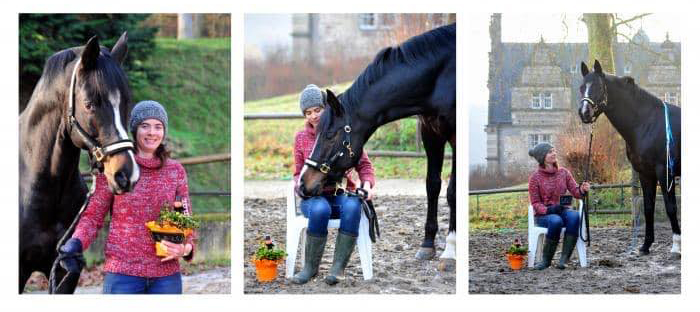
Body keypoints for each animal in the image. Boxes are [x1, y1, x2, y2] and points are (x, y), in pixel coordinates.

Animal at [298, 23, 456, 268]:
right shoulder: (431, 133)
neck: (440, 78)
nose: (304, 183)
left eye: (330, 135)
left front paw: (450, 250)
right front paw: (427, 245)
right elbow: (433, 185)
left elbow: (453, 191)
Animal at [576, 60, 680, 256]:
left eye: (598, 86)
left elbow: (671, 207)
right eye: (581, 87)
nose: (584, 113)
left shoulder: (664, 171)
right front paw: (645, 246)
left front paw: (676, 246)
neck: (647, 123)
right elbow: (648, 208)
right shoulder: (645, 173)